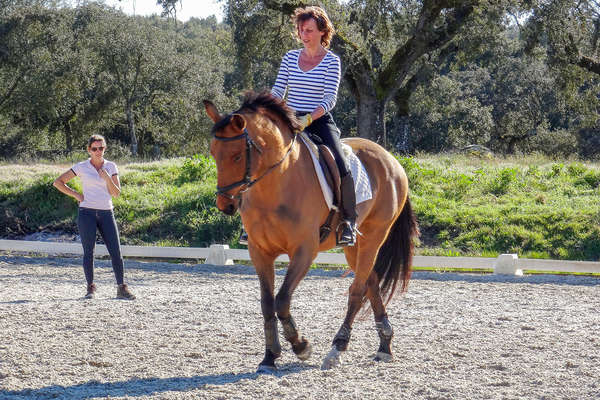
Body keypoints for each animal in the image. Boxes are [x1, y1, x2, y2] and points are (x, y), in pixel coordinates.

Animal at [202, 91, 418, 372]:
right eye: (213, 153)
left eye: (238, 156)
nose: (225, 205)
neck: (276, 185)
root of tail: (391, 160)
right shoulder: (259, 252)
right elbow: (267, 303)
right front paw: (270, 356)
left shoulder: (304, 251)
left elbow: (282, 299)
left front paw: (301, 346)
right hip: (353, 246)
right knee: (370, 283)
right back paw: (384, 345)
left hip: (375, 235)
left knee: (357, 290)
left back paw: (338, 348)